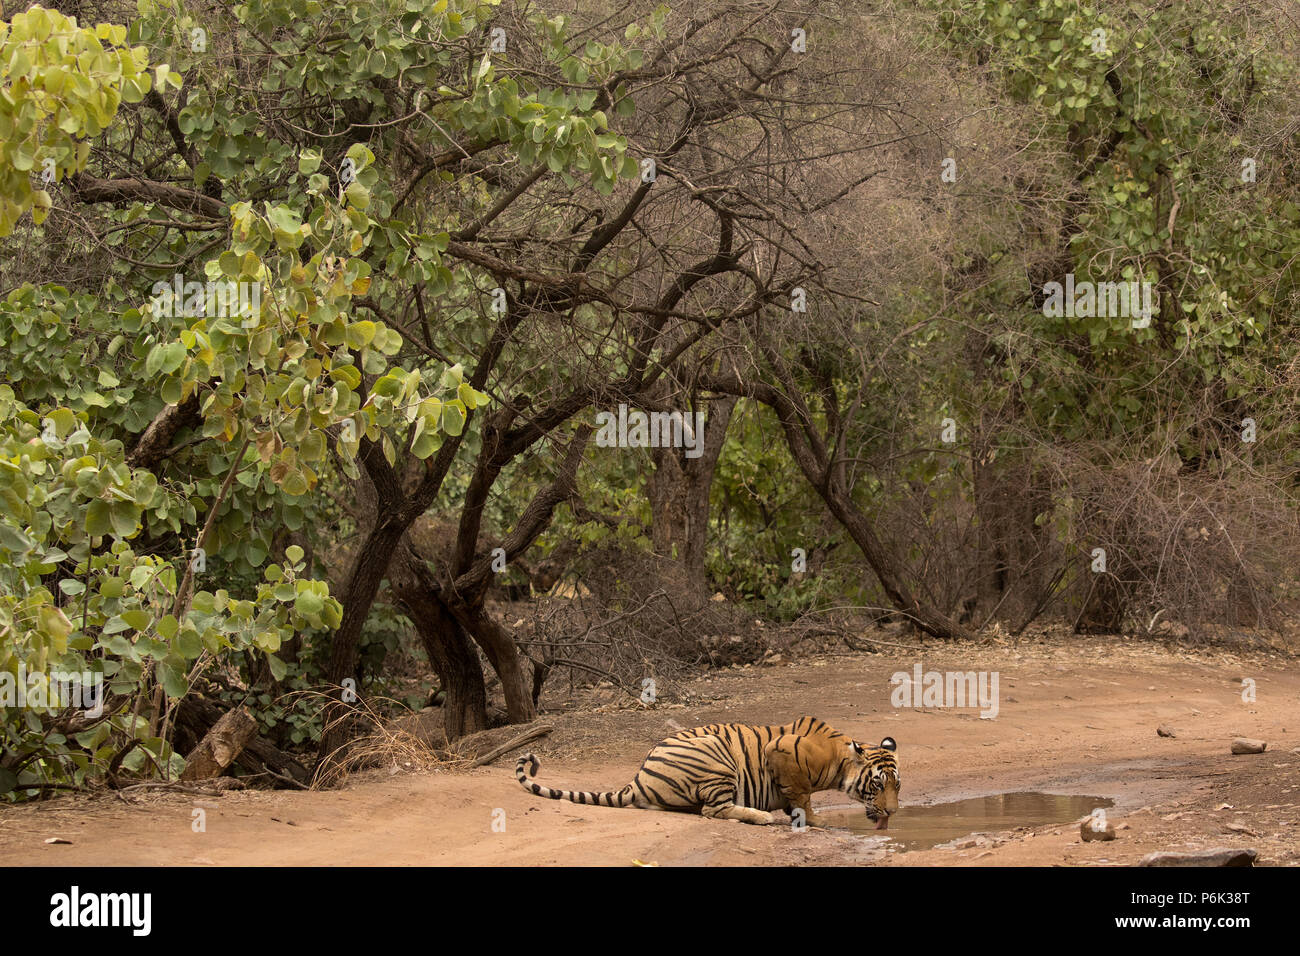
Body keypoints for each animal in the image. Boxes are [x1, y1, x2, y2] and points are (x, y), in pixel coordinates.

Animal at [512, 712, 899, 827]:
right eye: (878, 785)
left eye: (897, 785)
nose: (894, 812)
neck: (839, 760)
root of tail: (637, 778)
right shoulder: (780, 752)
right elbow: (802, 796)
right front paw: (815, 820)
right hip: (716, 755)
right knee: (714, 810)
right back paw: (762, 817)